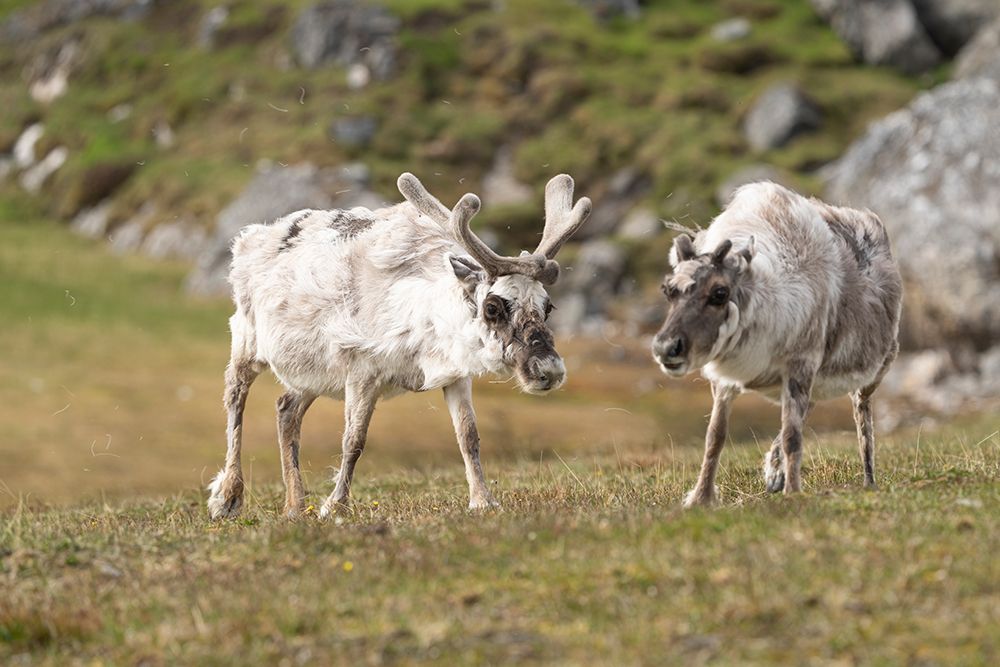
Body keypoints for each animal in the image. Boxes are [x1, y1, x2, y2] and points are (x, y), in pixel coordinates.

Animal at [207, 172, 591, 519]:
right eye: (493, 307)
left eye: (548, 306)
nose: (549, 370)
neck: (424, 321)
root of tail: (251, 236)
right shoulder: (362, 371)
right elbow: (353, 440)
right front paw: (335, 506)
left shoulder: (456, 374)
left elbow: (469, 435)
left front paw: (483, 501)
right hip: (246, 337)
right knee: (234, 395)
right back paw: (228, 497)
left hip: (311, 373)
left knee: (285, 408)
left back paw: (295, 507)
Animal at [651, 182, 902, 506]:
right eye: (668, 290)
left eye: (720, 292)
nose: (666, 347)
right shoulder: (726, 380)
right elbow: (715, 437)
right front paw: (701, 498)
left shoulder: (801, 364)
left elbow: (793, 437)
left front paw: (792, 491)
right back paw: (773, 472)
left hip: (876, 369)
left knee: (862, 416)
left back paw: (868, 479)